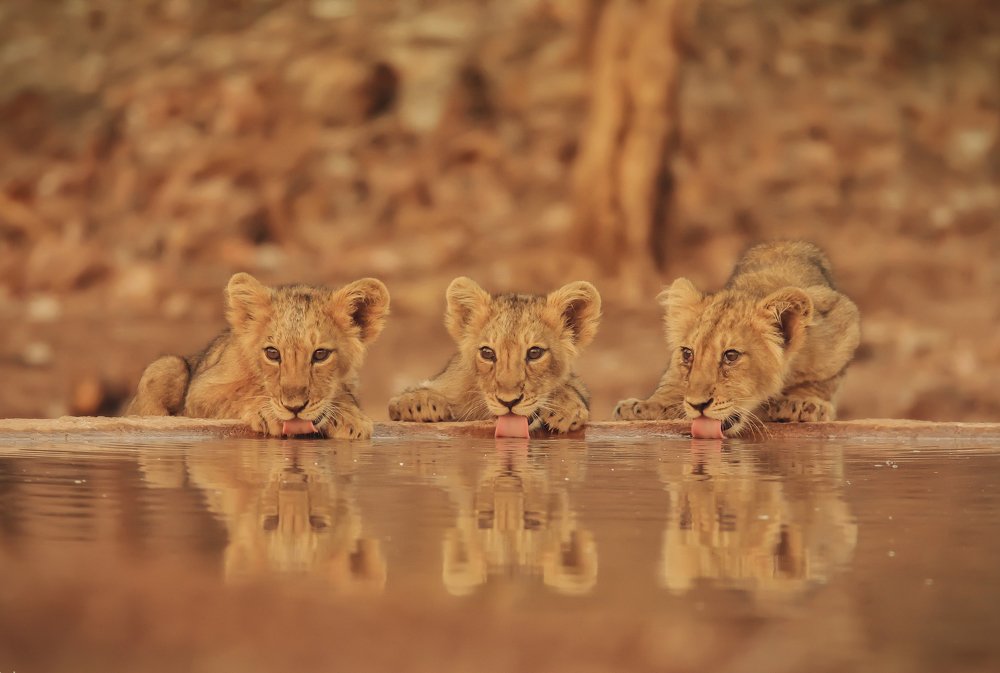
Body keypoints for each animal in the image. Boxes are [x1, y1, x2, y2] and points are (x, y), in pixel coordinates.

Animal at [126, 272, 389, 439]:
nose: (294, 408)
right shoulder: (200, 394)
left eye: (320, 354)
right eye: (272, 353)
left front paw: (350, 419)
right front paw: (267, 413)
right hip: (166, 366)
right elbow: (238, 394)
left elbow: (344, 397)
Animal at [388, 277, 601, 433]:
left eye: (534, 353)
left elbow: (573, 386)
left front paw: (565, 408)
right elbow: (404, 397)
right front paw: (419, 404)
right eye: (487, 353)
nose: (509, 402)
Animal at [614, 241, 860, 436]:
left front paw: (802, 402)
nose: (697, 405)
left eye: (731, 356)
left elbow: (821, 379)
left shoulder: (842, 320)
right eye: (687, 353)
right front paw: (645, 406)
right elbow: (672, 379)